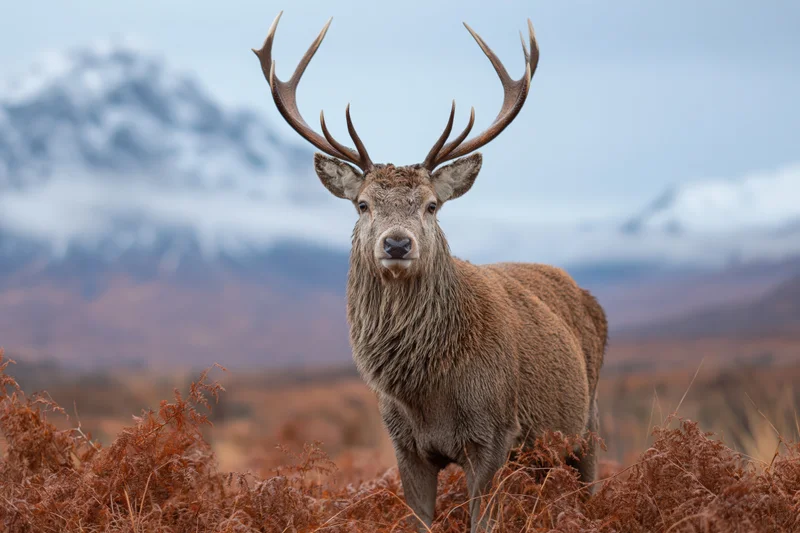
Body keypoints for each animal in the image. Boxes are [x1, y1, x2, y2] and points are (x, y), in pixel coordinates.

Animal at [252, 12, 607, 532]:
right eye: (363, 204)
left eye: (432, 205)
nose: (397, 243)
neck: (427, 395)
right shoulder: (404, 445)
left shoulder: (494, 435)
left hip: (586, 425)